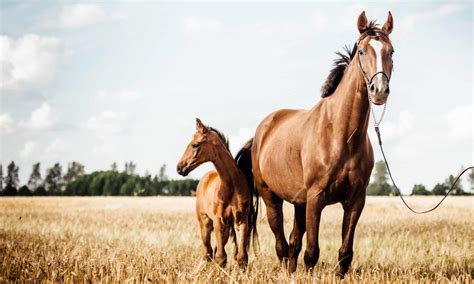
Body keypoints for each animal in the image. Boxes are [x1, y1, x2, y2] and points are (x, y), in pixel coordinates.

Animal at [237, 11, 396, 276]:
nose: (379, 90)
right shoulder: (316, 198)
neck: (341, 136)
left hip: (299, 202)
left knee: (293, 242)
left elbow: (345, 253)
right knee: (281, 244)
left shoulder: (355, 201)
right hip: (272, 198)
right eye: (362, 51)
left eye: (391, 51)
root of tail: (261, 132)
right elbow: (312, 253)